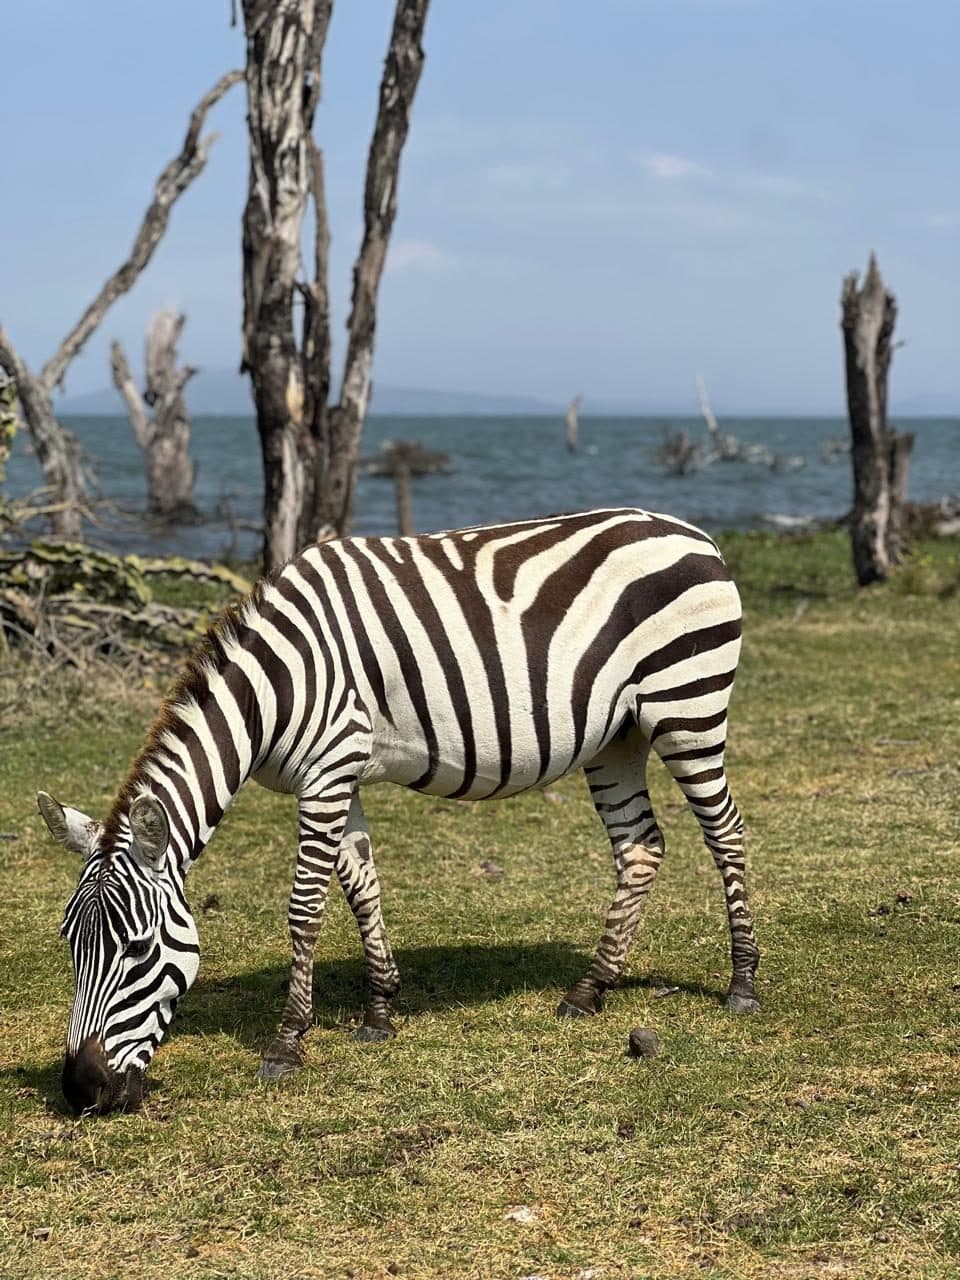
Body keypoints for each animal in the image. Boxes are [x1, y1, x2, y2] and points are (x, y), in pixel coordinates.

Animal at [38, 507, 760, 1113]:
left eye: (137, 949)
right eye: (70, 943)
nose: (81, 1089)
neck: (272, 690)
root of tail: (691, 531)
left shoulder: (327, 773)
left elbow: (305, 907)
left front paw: (288, 1041)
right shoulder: (340, 776)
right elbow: (362, 885)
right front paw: (380, 1011)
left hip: (687, 707)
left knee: (726, 832)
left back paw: (742, 984)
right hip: (619, 735)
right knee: (640, 846)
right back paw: (590, 989)